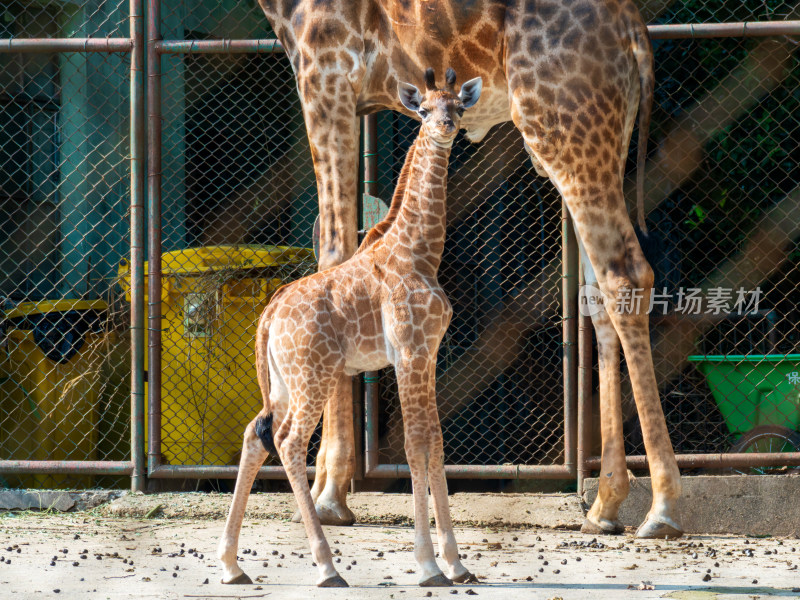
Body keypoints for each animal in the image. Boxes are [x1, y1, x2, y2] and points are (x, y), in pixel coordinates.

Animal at [216, 68, 482, 588]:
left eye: (457, 107)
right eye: (423, 110)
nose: (445, 127)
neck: (420, 253)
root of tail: (269, 314)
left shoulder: (428, 354)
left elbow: (438, 442)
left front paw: (457, 564)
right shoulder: (409, 354)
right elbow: (416, 443)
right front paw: (427, 566)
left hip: (283, 381)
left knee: (255, 435)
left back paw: (233, 565)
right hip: (313, 376)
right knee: (288, 442)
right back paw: (326, 566)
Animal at [260, 0, 684, 536]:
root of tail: (634, 31)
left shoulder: (326, 71)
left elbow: (333, 250)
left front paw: (329, 496)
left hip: (563, 125)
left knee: (626, 274)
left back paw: (662, 508)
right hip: (594, 137)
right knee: (598, 292)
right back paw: (606, 505)